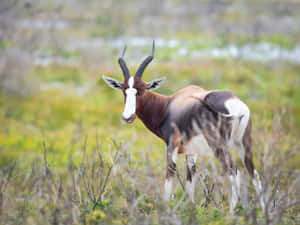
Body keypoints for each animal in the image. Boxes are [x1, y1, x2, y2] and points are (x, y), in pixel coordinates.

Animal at [103, 40, 264, 213]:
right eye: (124, 90)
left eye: (141, 90)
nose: (127, 117)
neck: (168, 105)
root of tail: (235, 103)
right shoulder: (191, 152)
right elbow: (190, 181)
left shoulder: (172, 145)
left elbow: (169, 176)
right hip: (244, 144)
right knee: (254, 173)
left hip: (219, 146)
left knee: (234, 172)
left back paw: (231, 213)